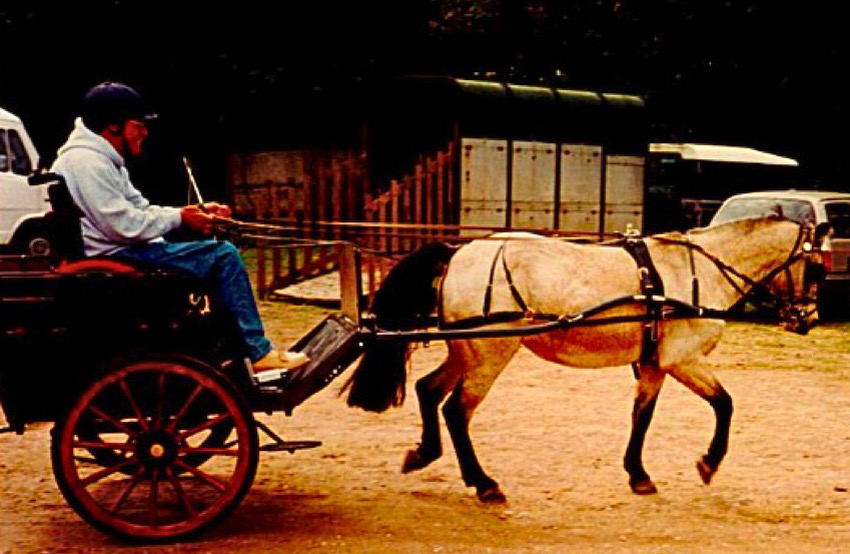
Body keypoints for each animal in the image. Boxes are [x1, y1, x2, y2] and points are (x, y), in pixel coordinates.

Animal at [343, 215, 829, 503]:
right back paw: (484, 484)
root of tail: (459, 251)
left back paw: (423, 454)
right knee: (456, 412)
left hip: (468, 351)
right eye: (818, 268)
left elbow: (641, 418)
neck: (701, 270)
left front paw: (638, 474)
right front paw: (708, 463)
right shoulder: (683, 361)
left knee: (428, 391)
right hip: (490, 355)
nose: (808, 319)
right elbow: (725, 404)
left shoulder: (653, 364)